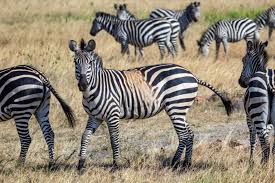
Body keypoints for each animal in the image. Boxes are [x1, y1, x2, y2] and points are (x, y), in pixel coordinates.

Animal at [68, 38, 233, 172]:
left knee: (184, 135)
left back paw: (174, 163)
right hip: (180, 109)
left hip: (176, 107)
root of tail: (191, 74)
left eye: (90, 63)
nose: (82, 85)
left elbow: (114, 140)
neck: (95, 88)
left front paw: (116, 166)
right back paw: (187, 164)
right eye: (75, 62)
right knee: (190, 133)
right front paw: (81, 165)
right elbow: (85, 137)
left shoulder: (112, 115)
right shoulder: (94, 117)